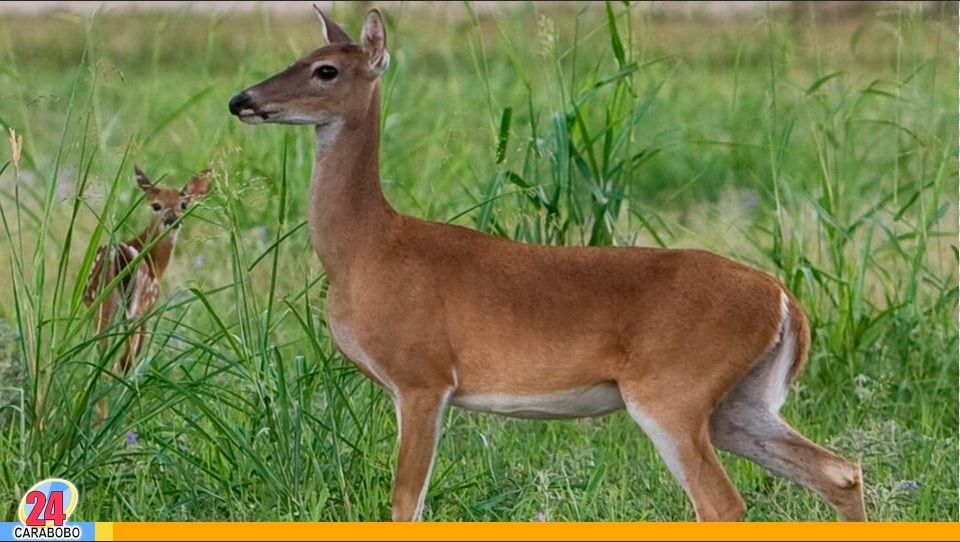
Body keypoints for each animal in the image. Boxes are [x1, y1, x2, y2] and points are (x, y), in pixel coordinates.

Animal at [83, 167, 211, 386]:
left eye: (183, 204)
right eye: (156, 205)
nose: (172, 220)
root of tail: (119, 256)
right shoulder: (148, 308)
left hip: (100, 304)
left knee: (104, 351)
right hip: (135, 307)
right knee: (123, 357)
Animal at [227, 7, 872, 524]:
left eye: (326, 70)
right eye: (298, 57)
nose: (242, 101)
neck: (367, 248)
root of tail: (785, 300)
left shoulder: (422, 376)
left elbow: (405, 503)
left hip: (674, 390)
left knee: (723, 502)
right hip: (739, 401)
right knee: (838, 471)